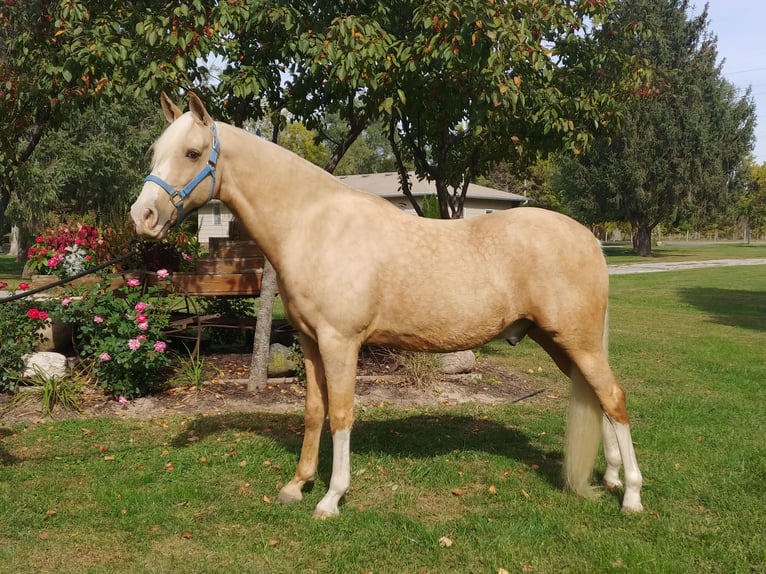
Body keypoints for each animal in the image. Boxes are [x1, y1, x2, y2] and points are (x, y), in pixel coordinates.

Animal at [130, 93, 640, 516]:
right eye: (154, 153)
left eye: (193, 153)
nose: (143, 217)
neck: (315, 225)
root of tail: (588, 238)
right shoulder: (310, 343)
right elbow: (314, 410)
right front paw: (297, 485)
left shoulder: (341, 343)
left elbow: (341, 414)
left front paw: (331, 498)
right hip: (562, 344)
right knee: (598, 398)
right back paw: (612, 479)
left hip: (577, 342)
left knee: (614, 399)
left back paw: (632, 495)